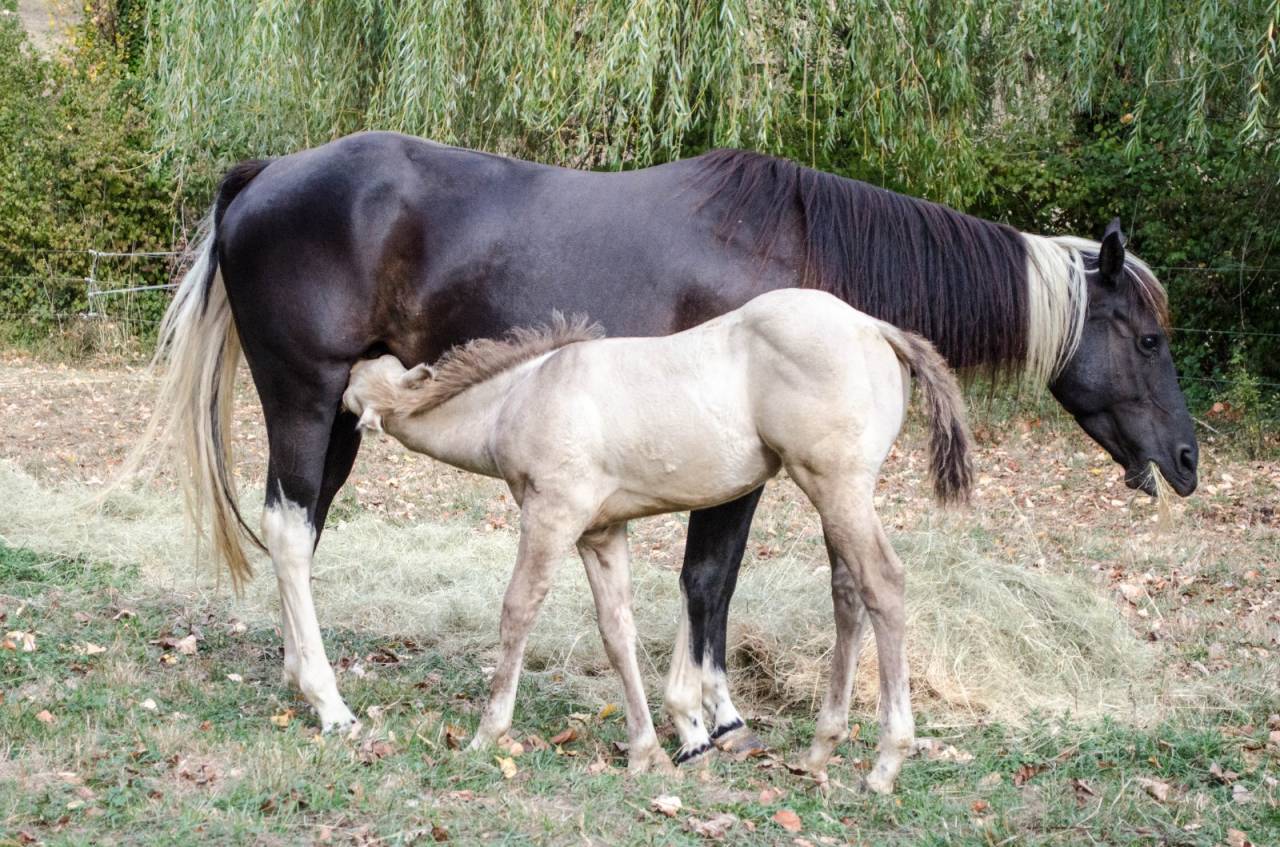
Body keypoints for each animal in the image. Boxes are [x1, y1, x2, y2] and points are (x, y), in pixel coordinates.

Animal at [340, 288, 973, 790]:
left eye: (352, 389)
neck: (522, 395)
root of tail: (877, 327)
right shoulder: (600, 533)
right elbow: (617, 630)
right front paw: (649, 753)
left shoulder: (551, 517)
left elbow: (518, 610)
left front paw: (485, 734)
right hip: (838, 497)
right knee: (848, 592)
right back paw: (820, 749)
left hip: (836, 486)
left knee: (882, 584)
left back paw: (886, 762)